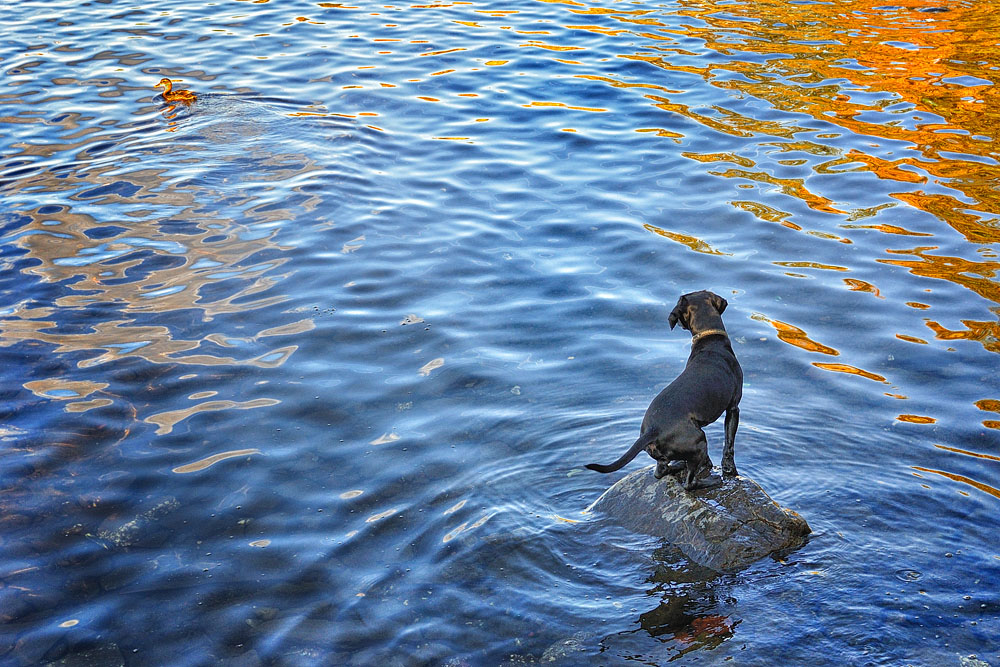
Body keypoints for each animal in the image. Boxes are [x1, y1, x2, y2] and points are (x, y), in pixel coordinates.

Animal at [584, 290, 744, 490]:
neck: (710, 340)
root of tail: (652, 430)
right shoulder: (733, 408)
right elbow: (729, 444)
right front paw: (729, 469)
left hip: (672, 451)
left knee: (660, 471)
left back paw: (679, 465)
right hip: (699, 439)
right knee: (689, 483)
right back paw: (710, 481)